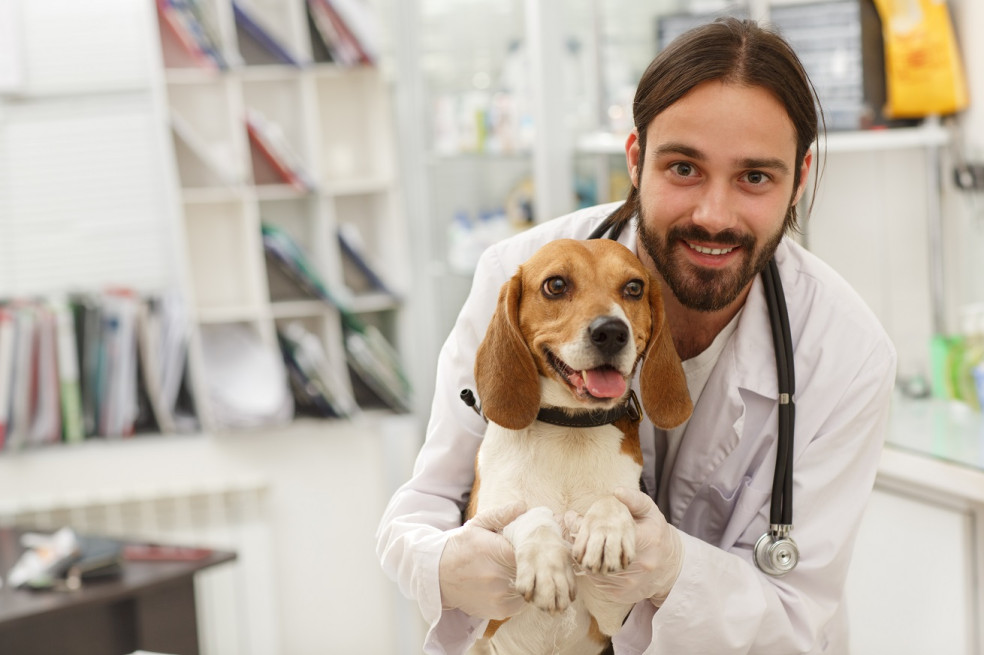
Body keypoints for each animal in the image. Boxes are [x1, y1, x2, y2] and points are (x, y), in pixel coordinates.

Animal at [468, 237, 692, 655]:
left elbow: (613, 499)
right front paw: (546, 564)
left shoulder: (611, 613)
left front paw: (605, 530)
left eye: (634, 288)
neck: (571, 431)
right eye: (556, 285)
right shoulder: (489, 609)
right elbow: (529, 517)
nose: (611, 331)